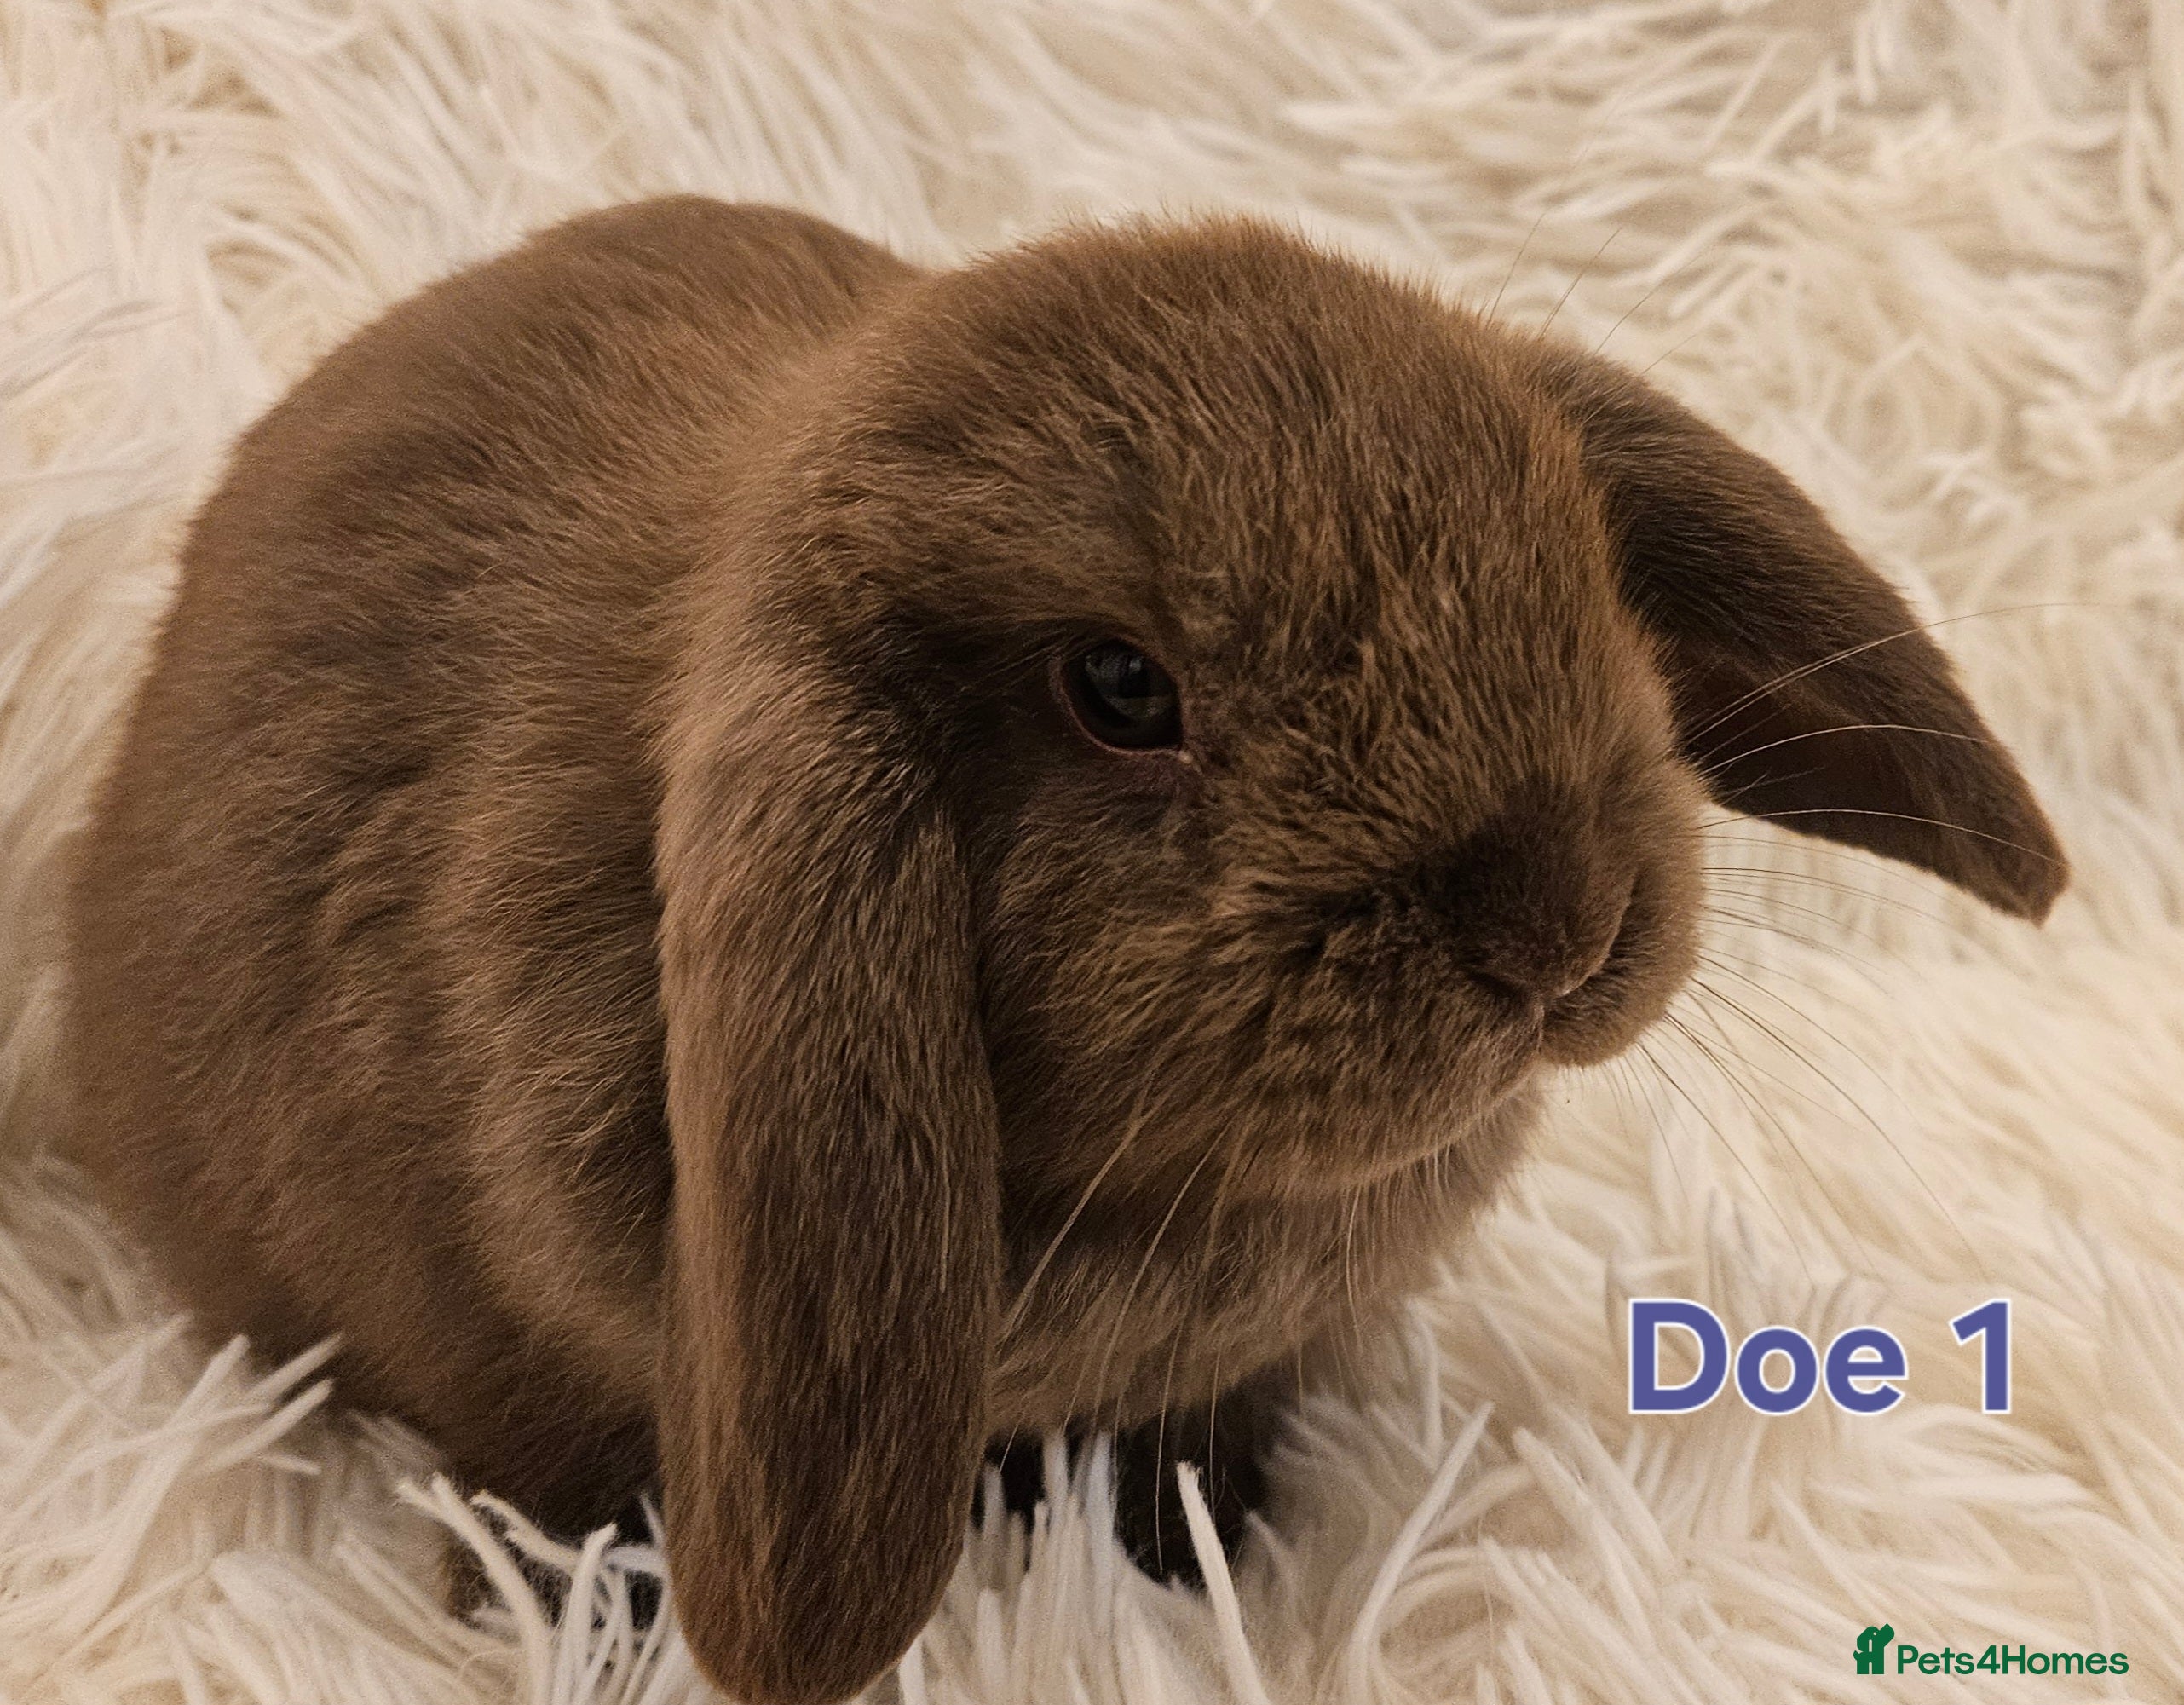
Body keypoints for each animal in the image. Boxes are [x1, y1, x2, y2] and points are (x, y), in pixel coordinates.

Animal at [63, 195, 2066, 1705]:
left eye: (1575, 562)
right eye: (1119, 689)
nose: (1559, 928)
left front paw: (1204, 1557)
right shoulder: (524, 1363)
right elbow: (558, 1498)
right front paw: (589, 1629)